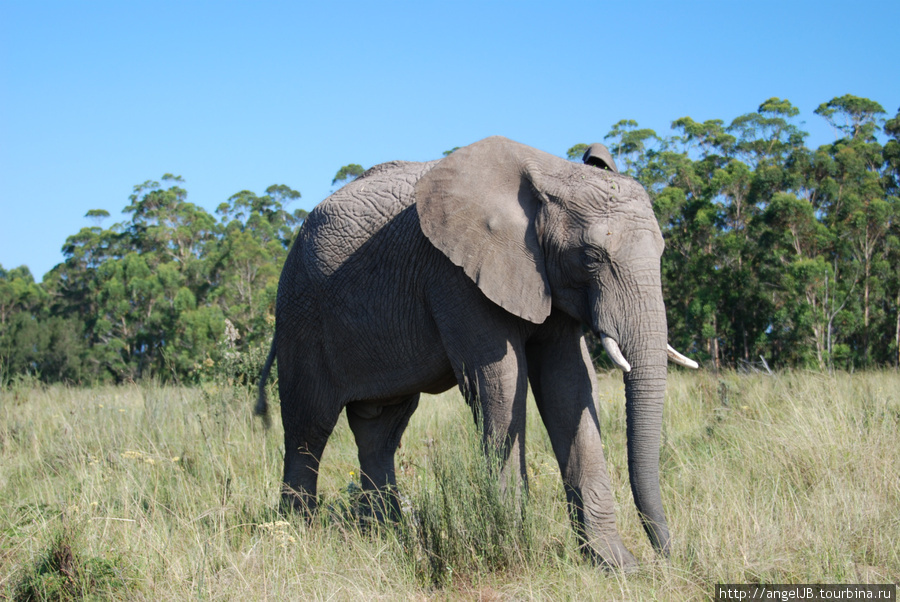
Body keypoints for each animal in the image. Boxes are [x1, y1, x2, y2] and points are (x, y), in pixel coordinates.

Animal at [256, 136, 700, 568]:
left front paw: (617, 565)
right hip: (301, 314)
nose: (669, 559)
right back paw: (297, 538)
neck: (550, 174)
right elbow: (501, 383)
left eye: (662, 252)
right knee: (309, 427)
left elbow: (570, 386)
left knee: (380, 429)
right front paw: (516, 552)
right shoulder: (456, 275)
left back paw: (385, 535)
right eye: (591, 257)